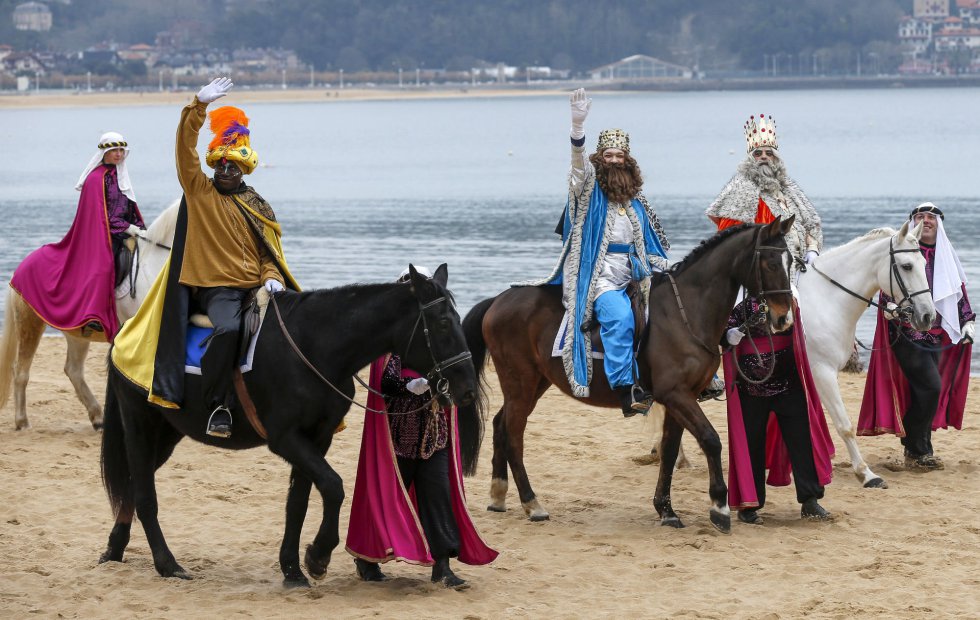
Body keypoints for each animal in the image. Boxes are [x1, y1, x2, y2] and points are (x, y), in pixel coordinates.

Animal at [0, 203, 179, 432]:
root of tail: (20, 268)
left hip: (75, 333)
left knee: (73, 371)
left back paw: (98, 418)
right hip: (30, 324)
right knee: (21, 371)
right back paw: (22, 422)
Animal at [97, 266, 480, 588]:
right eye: (442, 323)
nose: (467, 389)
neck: (315, 345)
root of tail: (127, 333)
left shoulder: (317, 438)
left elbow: (298, 501)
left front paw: (293, 569)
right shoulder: (286, 438)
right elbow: (333, 486)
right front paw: (318, 556)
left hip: (167, 432)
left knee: (132, 484)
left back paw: (115, 548)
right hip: (140, 424)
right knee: (144, 493)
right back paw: (166, 563)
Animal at [462, 217, 796, 532]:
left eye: (791, 261)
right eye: (769, 262)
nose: (783, 319)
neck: (685, 313)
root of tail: (497, 300)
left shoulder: (679, 398)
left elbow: (669, 450)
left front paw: (666, 510)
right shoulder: (676, 394)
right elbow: (711, 440)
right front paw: (719, 508)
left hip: (534, 384)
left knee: (500, 424)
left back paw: (498, 495)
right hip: (521, 382)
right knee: (514, 435)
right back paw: (532, 504)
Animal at [652, 222, 936, 490]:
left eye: (924, 263)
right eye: (907, 266)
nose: (928, 316)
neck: (828, 300)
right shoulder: (822, 372)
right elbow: (844, 425)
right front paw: (865, 474)